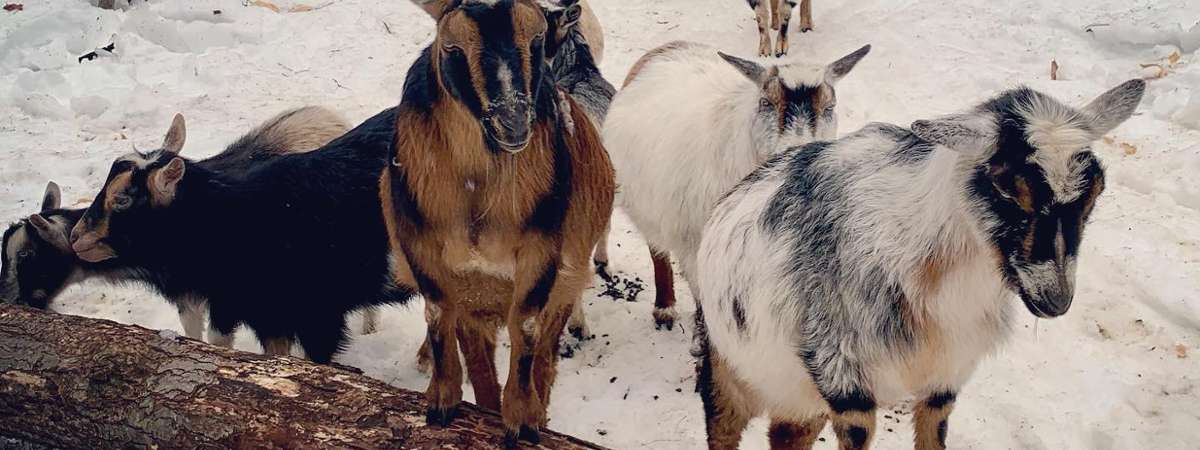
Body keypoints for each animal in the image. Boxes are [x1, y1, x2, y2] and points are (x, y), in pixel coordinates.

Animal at [0, 108, 384, 340]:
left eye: (28, 256)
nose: (10, 300)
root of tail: (328, 117)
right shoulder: (187, 295)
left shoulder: (227, 296)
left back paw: (369, 329)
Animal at [381, 0, 614, 446]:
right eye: (452, 47)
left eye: (536, 37)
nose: (513, 124)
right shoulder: (420, 243)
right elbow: (437, 313)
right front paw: (442, 402)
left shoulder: (543, 252)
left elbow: (526, 327)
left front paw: (524, 419)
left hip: (566, 276)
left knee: (546, 353)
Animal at [604, 41, 868, 331]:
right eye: (765, 102)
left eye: (829, 107)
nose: (796, 150)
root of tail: (667, 46)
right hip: (645, 205)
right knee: (656, 247)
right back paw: (664, 308)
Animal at [696, 79, 1142, 448]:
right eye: (1004, 187)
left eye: (1096, 192)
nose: (1056, 300)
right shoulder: (841, 376)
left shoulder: (946, 376)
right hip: (730, 368)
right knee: (722, 426)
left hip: (797, 395)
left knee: (785, 434)